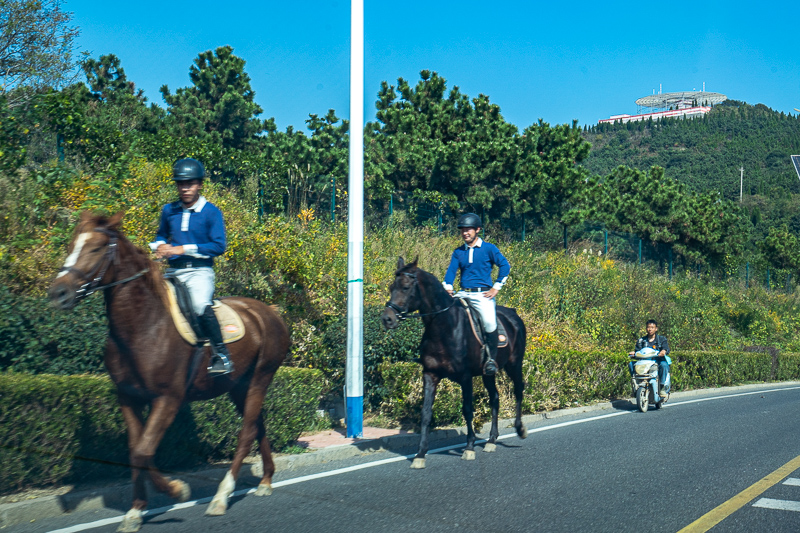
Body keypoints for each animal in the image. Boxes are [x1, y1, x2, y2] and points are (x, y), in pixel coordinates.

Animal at [48, 210, 290, 528]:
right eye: (71, 245)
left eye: (96, 248)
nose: (58, 293)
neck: (143, 326)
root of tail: (269, 312)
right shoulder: (128, 398)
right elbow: (136, 451)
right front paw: (136, 511)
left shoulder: (167, 399)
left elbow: (144, 450)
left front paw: (176, 490)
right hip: (240, 387)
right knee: (257, 424)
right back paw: (265, 480)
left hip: (260, 379)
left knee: (246, 432)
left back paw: (221, 496)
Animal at [382, 256, 532, 468]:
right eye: (390, 287)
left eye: (405, 287)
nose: (387, 318)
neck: (444, 326)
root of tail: (513, 314)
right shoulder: (430, 374)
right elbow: (426, 413)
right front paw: (420, 454)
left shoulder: (465, 377)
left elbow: (467, 410)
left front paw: (469, 447)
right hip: (488, 373)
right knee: (495, 397)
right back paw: (491, 440)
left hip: (514, 365)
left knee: (519, 390)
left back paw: (520, 429)